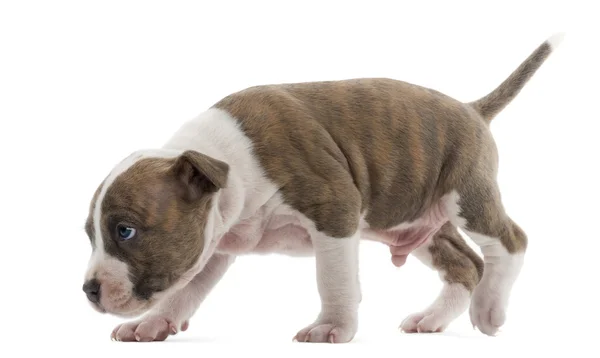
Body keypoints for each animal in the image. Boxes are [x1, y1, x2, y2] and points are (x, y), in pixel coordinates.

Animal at [83, 34, 564, 344]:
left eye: (125, 230)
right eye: (90, 235)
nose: (88, 289)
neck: (223, 159)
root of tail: (471, 109)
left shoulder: (333, 211)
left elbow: (333, 279)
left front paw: (330, 327)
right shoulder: (212, 242)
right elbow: (187, 289)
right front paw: (153, 324)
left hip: (465, 194)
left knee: (510, 241)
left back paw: (490, 308)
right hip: (417, 219)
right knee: (464, 264)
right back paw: (431, 319)